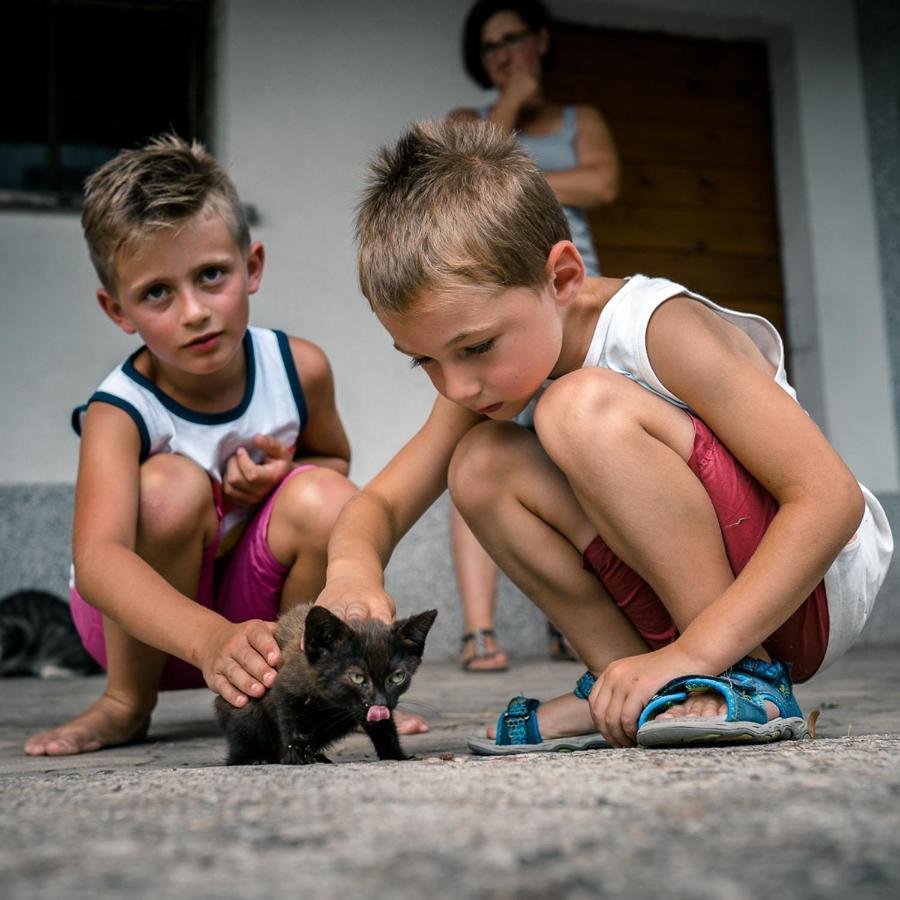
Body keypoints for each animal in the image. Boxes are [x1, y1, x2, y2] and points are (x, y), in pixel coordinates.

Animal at [212, 604, 436, 768]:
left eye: (397, 677)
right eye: (357, 677)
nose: (380, 703)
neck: (330, 703)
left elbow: (384, 727)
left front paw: (397, 756)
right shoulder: (285, 686)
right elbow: (292, 722)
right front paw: (297, 756)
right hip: (245, 709)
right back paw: (251, 758)